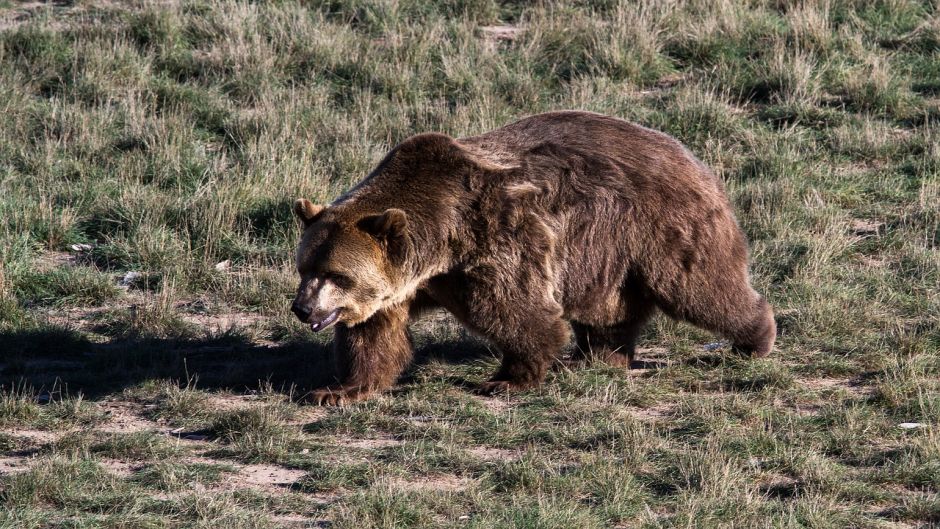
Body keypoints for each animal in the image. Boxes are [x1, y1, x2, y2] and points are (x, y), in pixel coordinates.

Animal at [290, 110, 776, 405]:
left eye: (337, 274)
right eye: (305, 268)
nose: (303, 309)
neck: (440, 243)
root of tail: (690, 154)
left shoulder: (494, 241)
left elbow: (517, 311)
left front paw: (507, 378)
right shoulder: (400, 287)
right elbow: (373, 337)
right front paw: (338, 389)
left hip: (661, 226)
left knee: (700, 288)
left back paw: (754, 338)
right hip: (606, 254)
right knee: (608, 308)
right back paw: (599, 355)